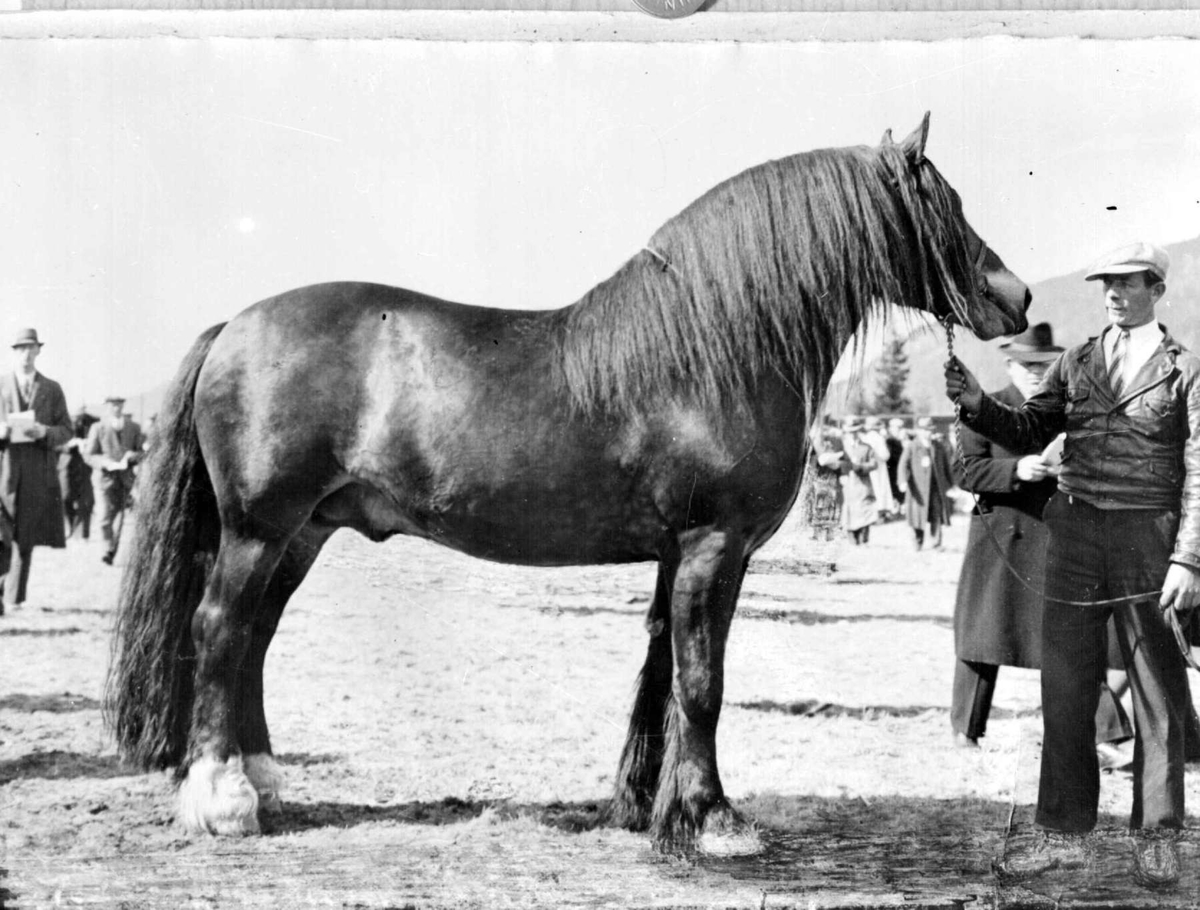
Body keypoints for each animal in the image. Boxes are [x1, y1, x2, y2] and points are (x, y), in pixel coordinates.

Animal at [105, 115, 1032, 854]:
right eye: (944, 204)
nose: (1016, 296)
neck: (712, 354)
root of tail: (237, 325)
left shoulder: (677, 554)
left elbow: (662, 671)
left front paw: (642, 805)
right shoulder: (714, 546)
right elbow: (703, 681)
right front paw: (713, 819)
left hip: (303, 533)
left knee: (254, 636)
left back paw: (263, 781)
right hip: (260, 529)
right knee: (220, 629)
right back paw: (224, 800)